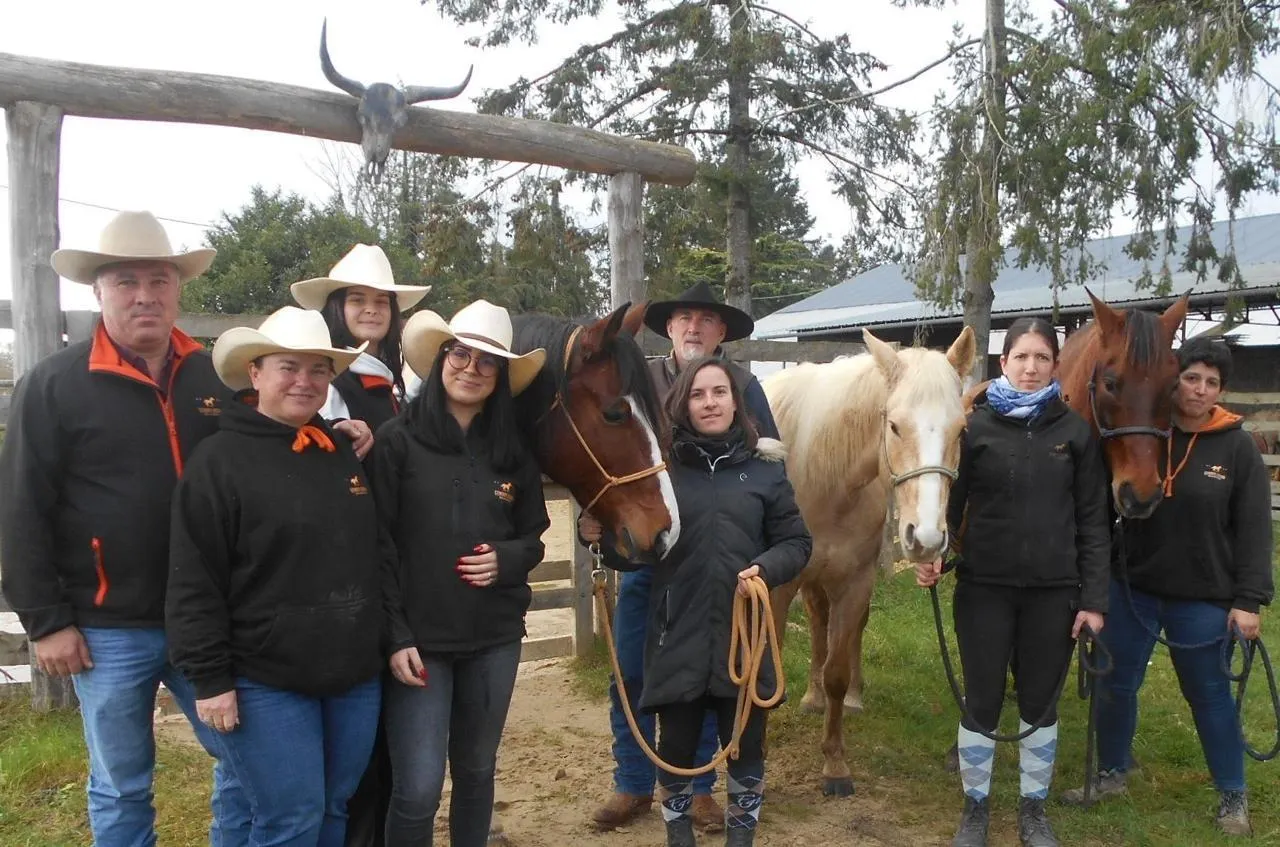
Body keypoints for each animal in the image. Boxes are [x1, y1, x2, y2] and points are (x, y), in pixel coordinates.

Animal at [762, 327, 977, 796]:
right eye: (893, 425)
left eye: (961, 430)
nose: (927, 539)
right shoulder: (776, 588)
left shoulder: (855, 582)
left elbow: (837, 670)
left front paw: (835, 764)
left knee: (827, 628)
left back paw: (830, 697)